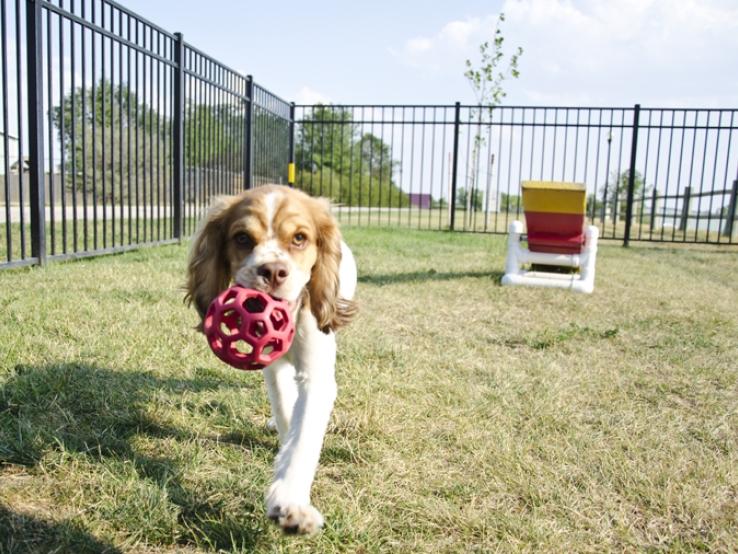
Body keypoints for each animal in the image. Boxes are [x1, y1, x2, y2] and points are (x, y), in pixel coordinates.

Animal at [184, 184, 356, 532]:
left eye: (300, 238)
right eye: (242, 238)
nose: (273, 271)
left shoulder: (317, 378)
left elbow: (303, 436)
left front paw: (292, 504)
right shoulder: (271, 367)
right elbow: (286, 410)